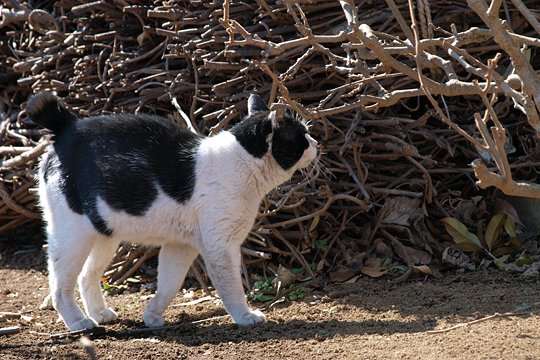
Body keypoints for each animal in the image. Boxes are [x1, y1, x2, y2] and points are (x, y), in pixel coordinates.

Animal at [26, 93, 316, 332]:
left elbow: (169, 284)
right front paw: (244, 316)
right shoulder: (220, 246)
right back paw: (78, 322)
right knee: (60, 285)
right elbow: (231, 286)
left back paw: (99, 313)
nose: (316, 142)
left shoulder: (181, 245)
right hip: (72, 235)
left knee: (87, 275)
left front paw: (152, 316)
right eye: (301, 136)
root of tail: (68, 126)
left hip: (104, 235)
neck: (241, 162)